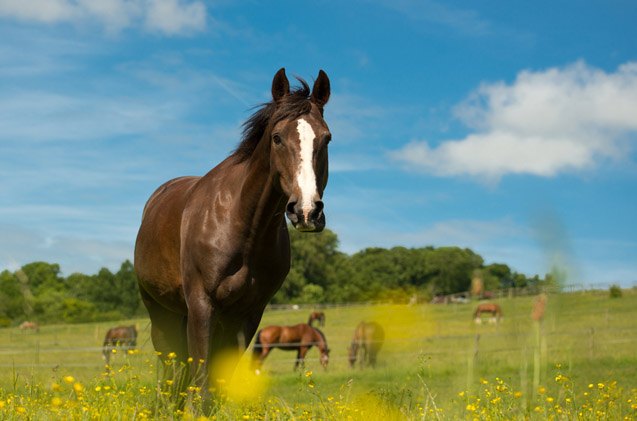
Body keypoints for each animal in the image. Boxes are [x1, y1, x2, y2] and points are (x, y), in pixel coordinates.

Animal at [134, 68, 332, 390]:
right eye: (277, 138)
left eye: (326, 139)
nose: (306, 211)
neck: (242, 225)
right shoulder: (202, 306)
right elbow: (200, 380)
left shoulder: (248, 315)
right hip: (161, 315)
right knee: (171, 374)